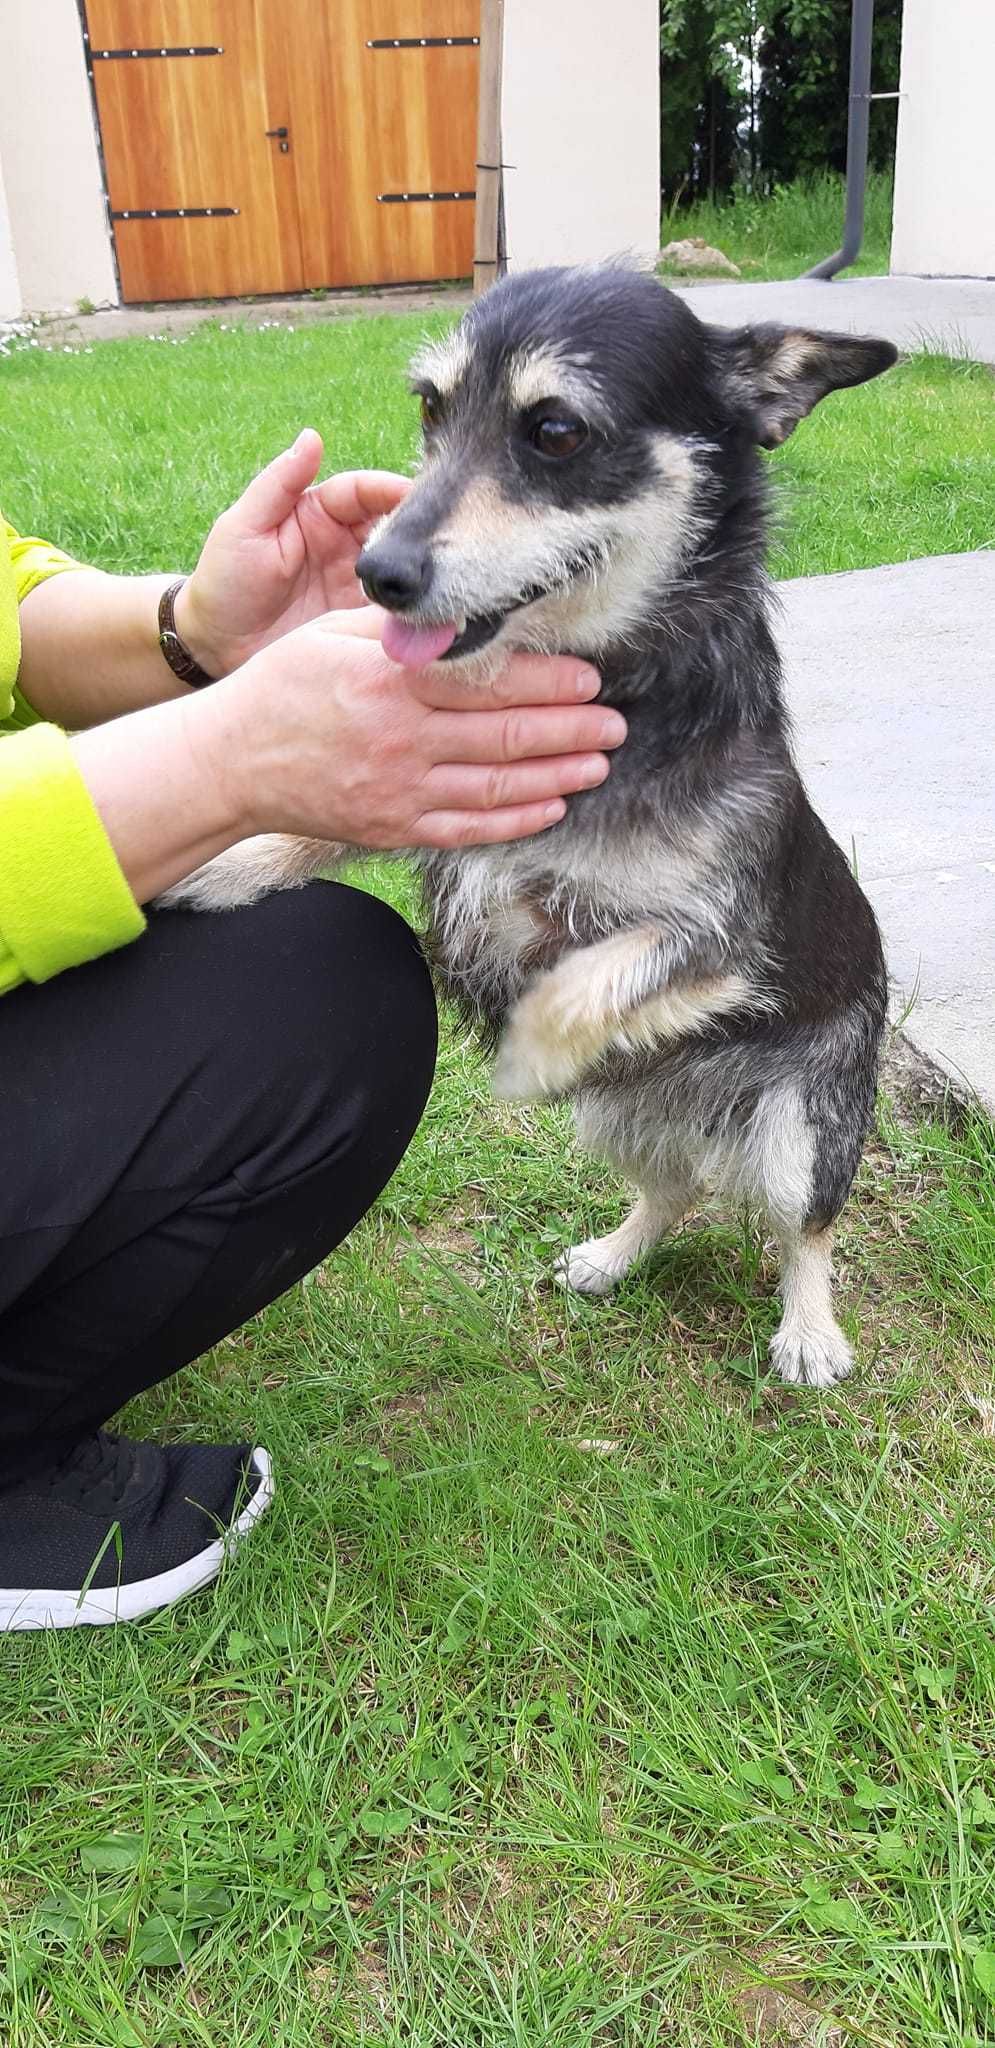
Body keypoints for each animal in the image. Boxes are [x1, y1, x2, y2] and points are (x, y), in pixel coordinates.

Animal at [166, 264, 896, 1384]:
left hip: (798, 1130)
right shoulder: (443, 796)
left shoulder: (720, 942)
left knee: (801, 1228)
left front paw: (523, 1054)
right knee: (673, 1187)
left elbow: (579, 986)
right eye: (430, 407)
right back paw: (613, 1253)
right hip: (616, 1119)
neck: (624, 688)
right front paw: (230, 857)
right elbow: (321, 814)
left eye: (553, 430)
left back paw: (808, 1331)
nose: (377, 571)